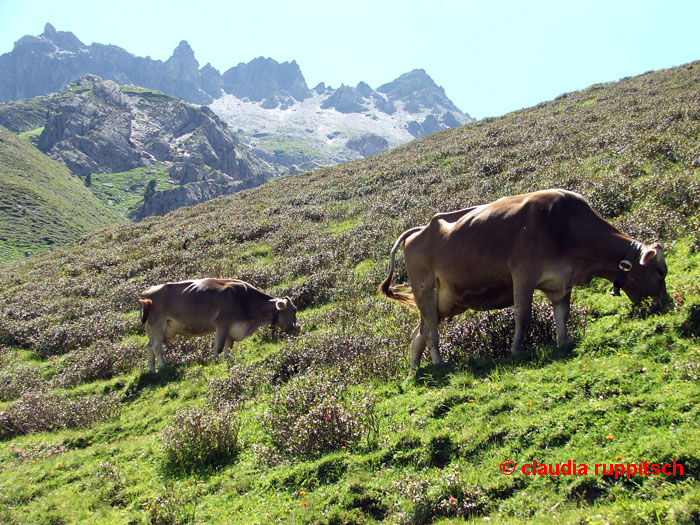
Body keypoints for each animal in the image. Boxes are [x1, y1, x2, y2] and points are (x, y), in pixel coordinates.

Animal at [139, 278, 298, 372]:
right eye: (294, 310)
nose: (298, 327)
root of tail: (146, 294)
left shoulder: (232, 329)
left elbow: (228, 347)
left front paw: (227, 360)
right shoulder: (223, 324)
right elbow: (219, 346)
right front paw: (214, 361)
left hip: (161, 329)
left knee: (149, 346)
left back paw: (152, 370)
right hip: (157, 326)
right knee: (156, 347)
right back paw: (164, 366)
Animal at [378, 187, 668, 364]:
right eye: (660, 271)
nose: (665, 305)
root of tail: (420, 228)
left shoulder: (560, 281)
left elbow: (562, 313)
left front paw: (563, 342)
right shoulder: (523, 271)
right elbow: (522, 313)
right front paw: (516, 350)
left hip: (445, 300)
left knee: (419, 332)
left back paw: (415, 372)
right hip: (425, 288)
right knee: (431, 332)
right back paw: (439, 364)